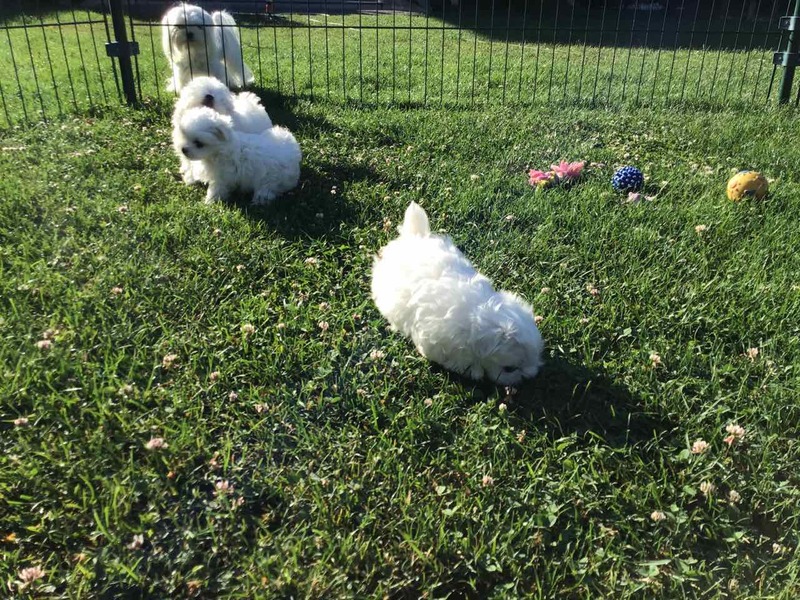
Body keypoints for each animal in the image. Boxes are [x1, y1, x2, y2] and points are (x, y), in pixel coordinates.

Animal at [371, 202, 544, 385]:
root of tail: (414, 235)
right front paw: (475, 371)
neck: (476, 316)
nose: (529, 376)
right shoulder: (437, 344)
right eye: (509, 369)